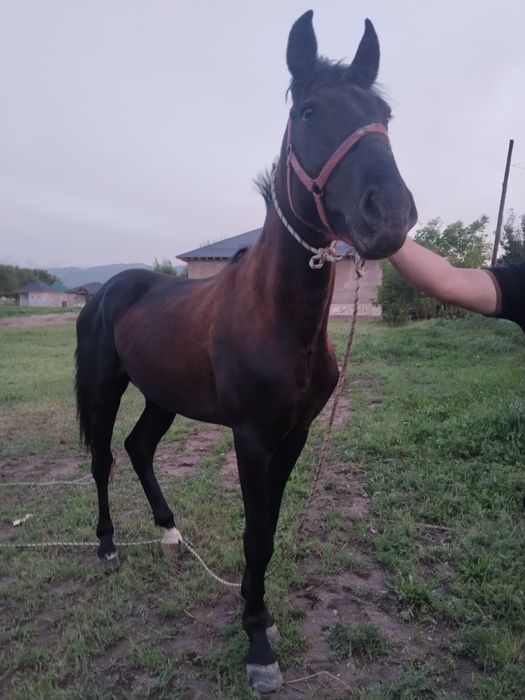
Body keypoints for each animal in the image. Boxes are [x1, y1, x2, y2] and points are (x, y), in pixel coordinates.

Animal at [75, 10, 417, 693]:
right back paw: (107, 545)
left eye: (384, 115)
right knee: (103, 458)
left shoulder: (295, 434)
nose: (389, 215)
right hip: (106, 388)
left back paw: (170, 533)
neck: (282, 320)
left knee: (138, 447)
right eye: (308, 112)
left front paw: (257, 615)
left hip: (163, 395)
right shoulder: (252, 435)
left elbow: (270, 528)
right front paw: (257, 641)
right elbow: (256, 533)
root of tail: (109, 290)